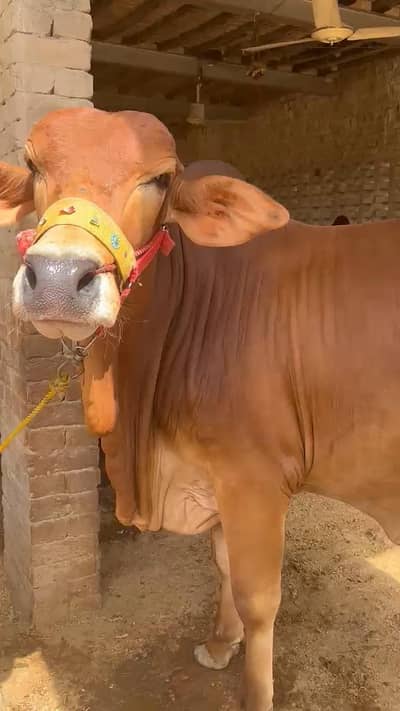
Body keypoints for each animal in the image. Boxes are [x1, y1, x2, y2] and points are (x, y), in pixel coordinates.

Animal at [1, 107, 400, 711]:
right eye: (32, 164)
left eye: (161, 179)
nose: (57, 279)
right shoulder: (215, 474)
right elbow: (222, 563)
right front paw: (219, 643)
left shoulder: (256, 480)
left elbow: (259, 599)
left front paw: (254, 692)